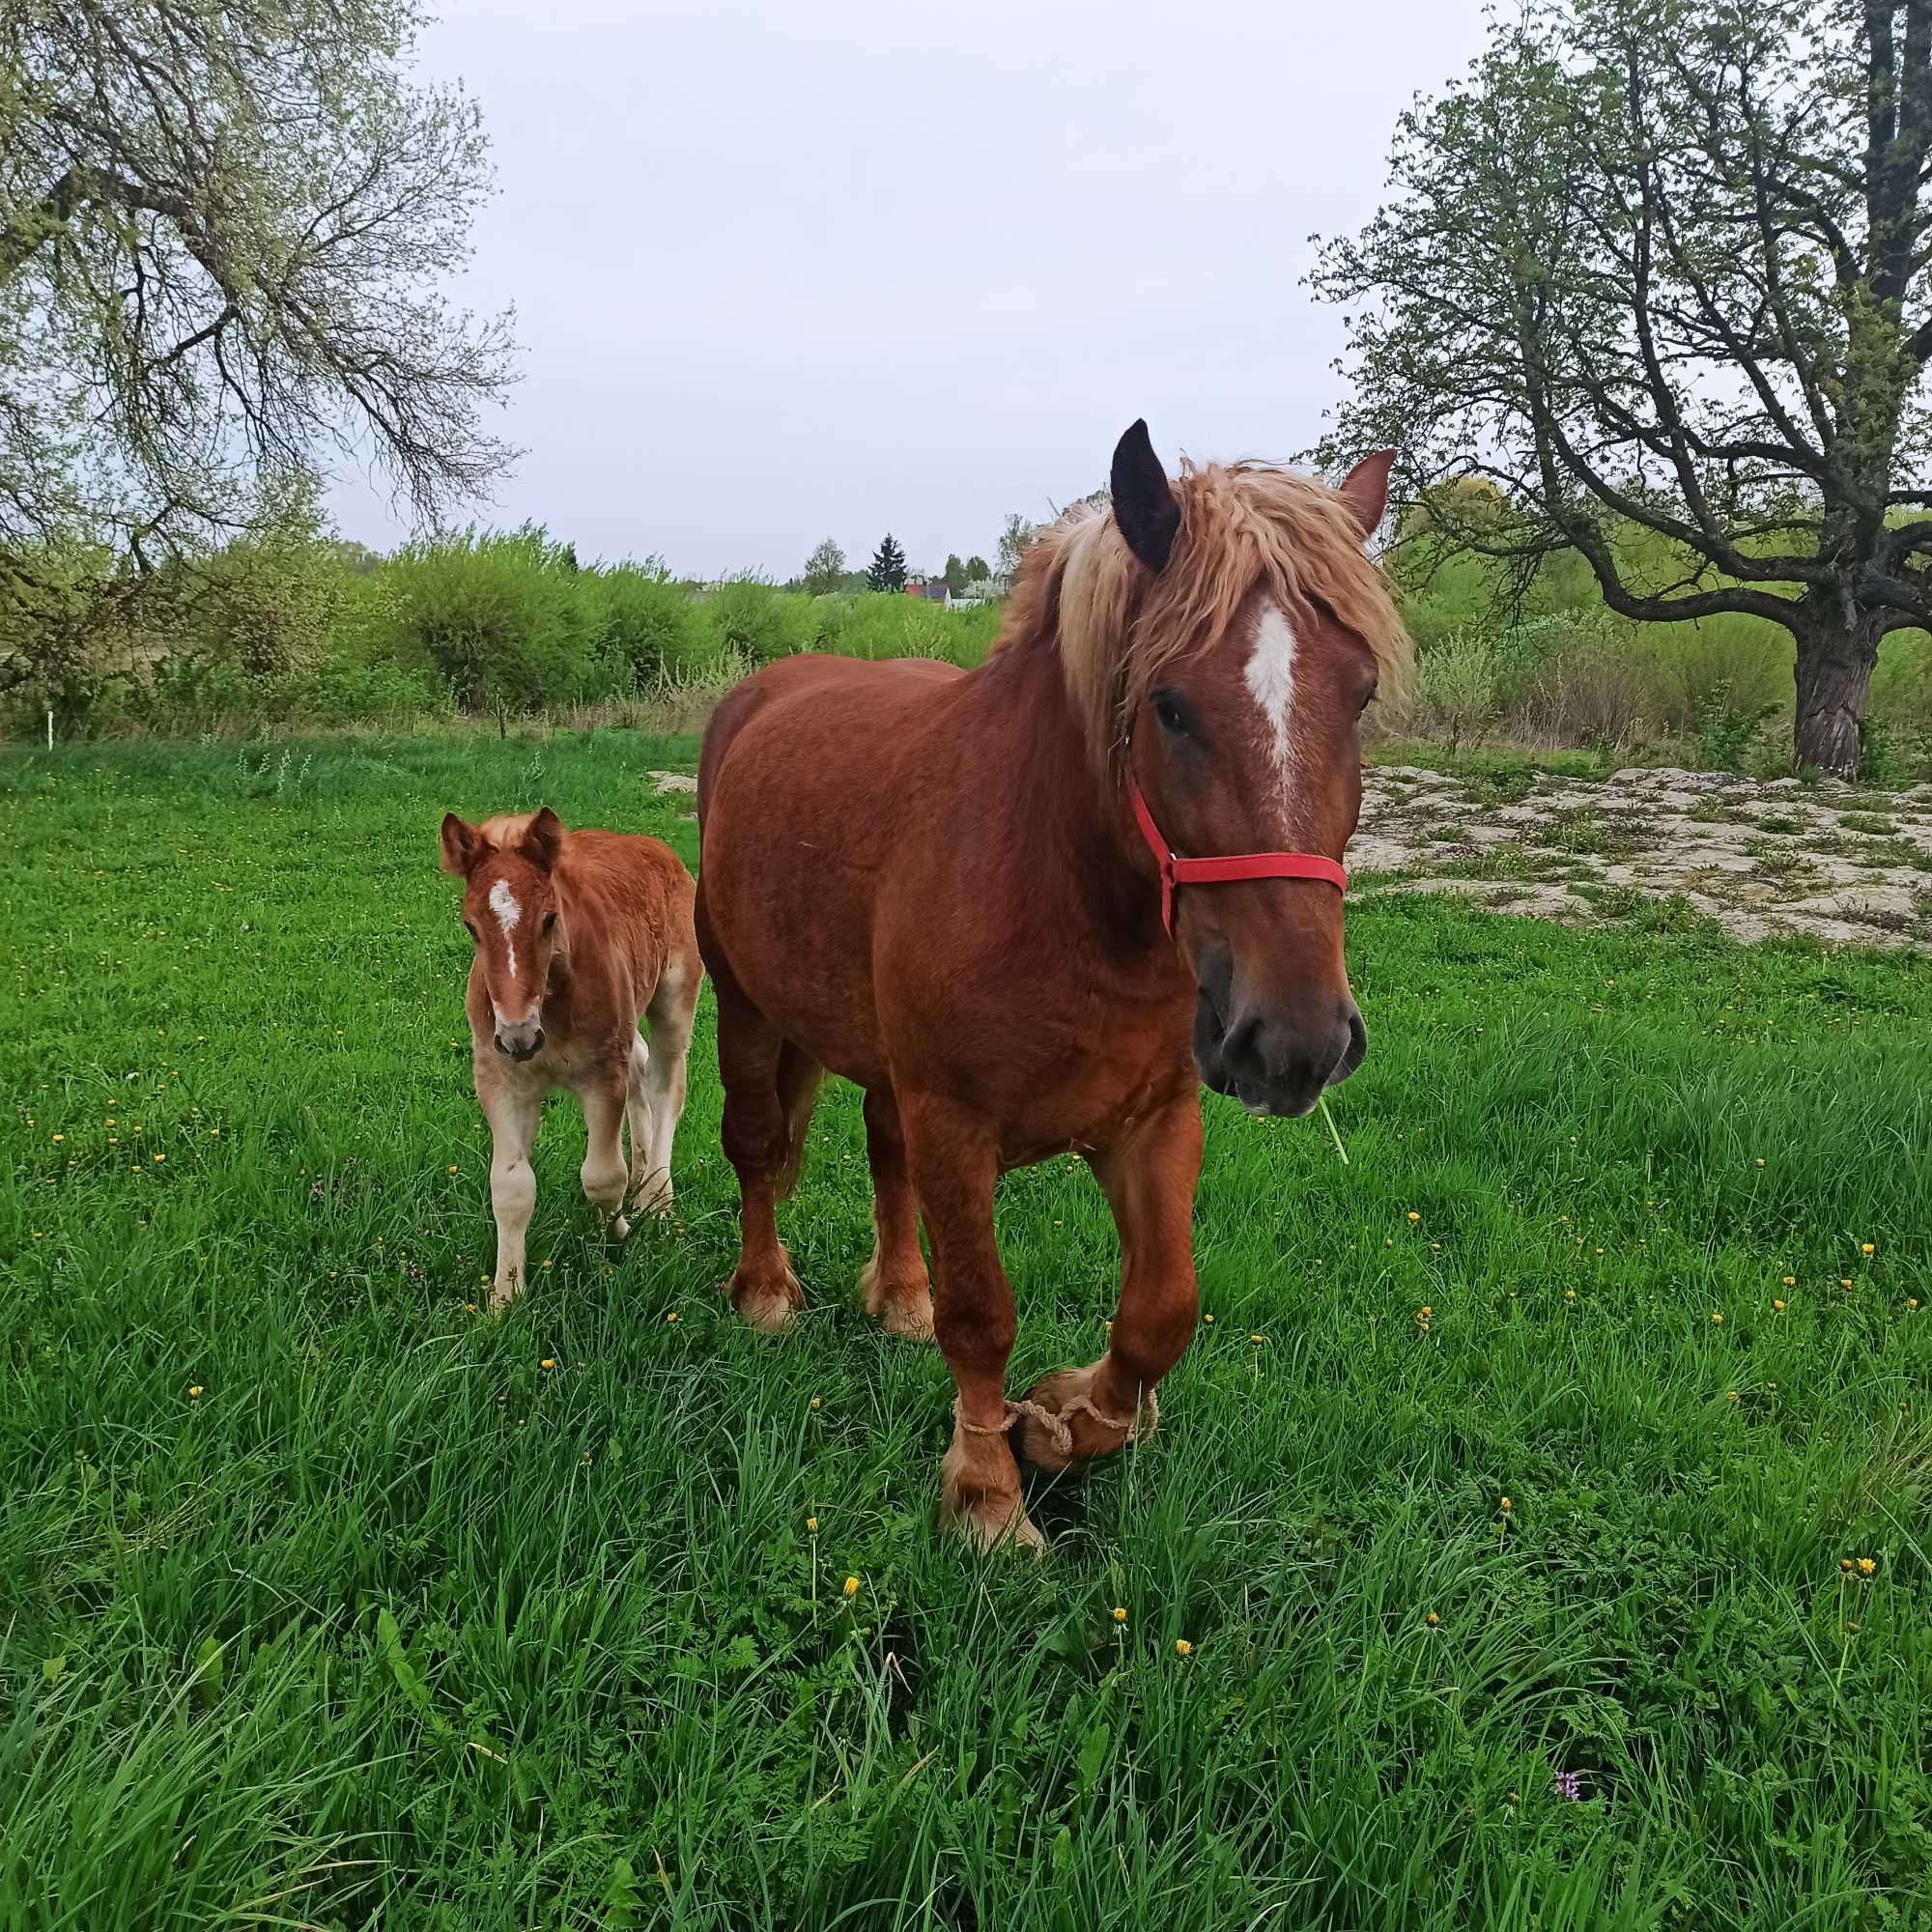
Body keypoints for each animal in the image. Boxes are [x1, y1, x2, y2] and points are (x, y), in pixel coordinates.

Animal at [692, 427, 1406, 1553]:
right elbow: (981, 1313)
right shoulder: (956, 1125)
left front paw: (1065, 1421)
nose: (1298, 1042)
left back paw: (898, 1296)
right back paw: (765, 1293)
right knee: (758, 1145)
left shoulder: (1153, 1122)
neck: (1056, 887)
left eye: (1360, 695)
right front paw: (987, 1491)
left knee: (883, 1153)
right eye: (1169, 706)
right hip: (748, 1010)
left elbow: (1161, 1311)